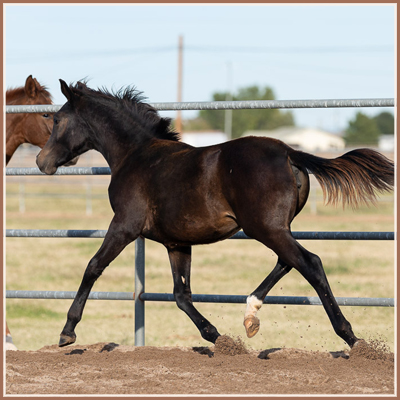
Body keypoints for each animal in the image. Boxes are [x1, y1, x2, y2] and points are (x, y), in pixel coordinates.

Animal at [36, 81, 394, 350]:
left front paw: (67, 331)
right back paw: (251, 314)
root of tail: (288, 151)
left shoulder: (124, 225)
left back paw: (351, 337)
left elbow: (93, 266)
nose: (42, 161)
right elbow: (181, 295)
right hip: (276, 228)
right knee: (287, 261)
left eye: (57, 120)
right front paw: (217, 338)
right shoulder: (176, 242)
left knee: (310, 263)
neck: (136, 155)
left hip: (265, 228)